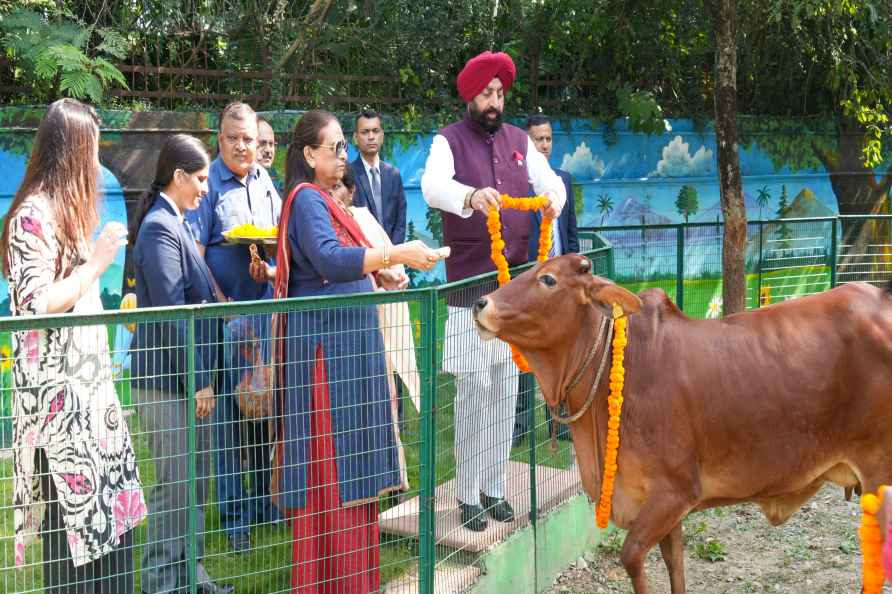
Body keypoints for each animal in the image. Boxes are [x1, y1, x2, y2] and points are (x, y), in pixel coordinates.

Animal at [474, 254, 892, 592]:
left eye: (548, 280)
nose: (480, 302)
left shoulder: (675, 492)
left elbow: (631, 557)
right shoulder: (663, 507)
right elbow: (675, 565)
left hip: (879, 477)